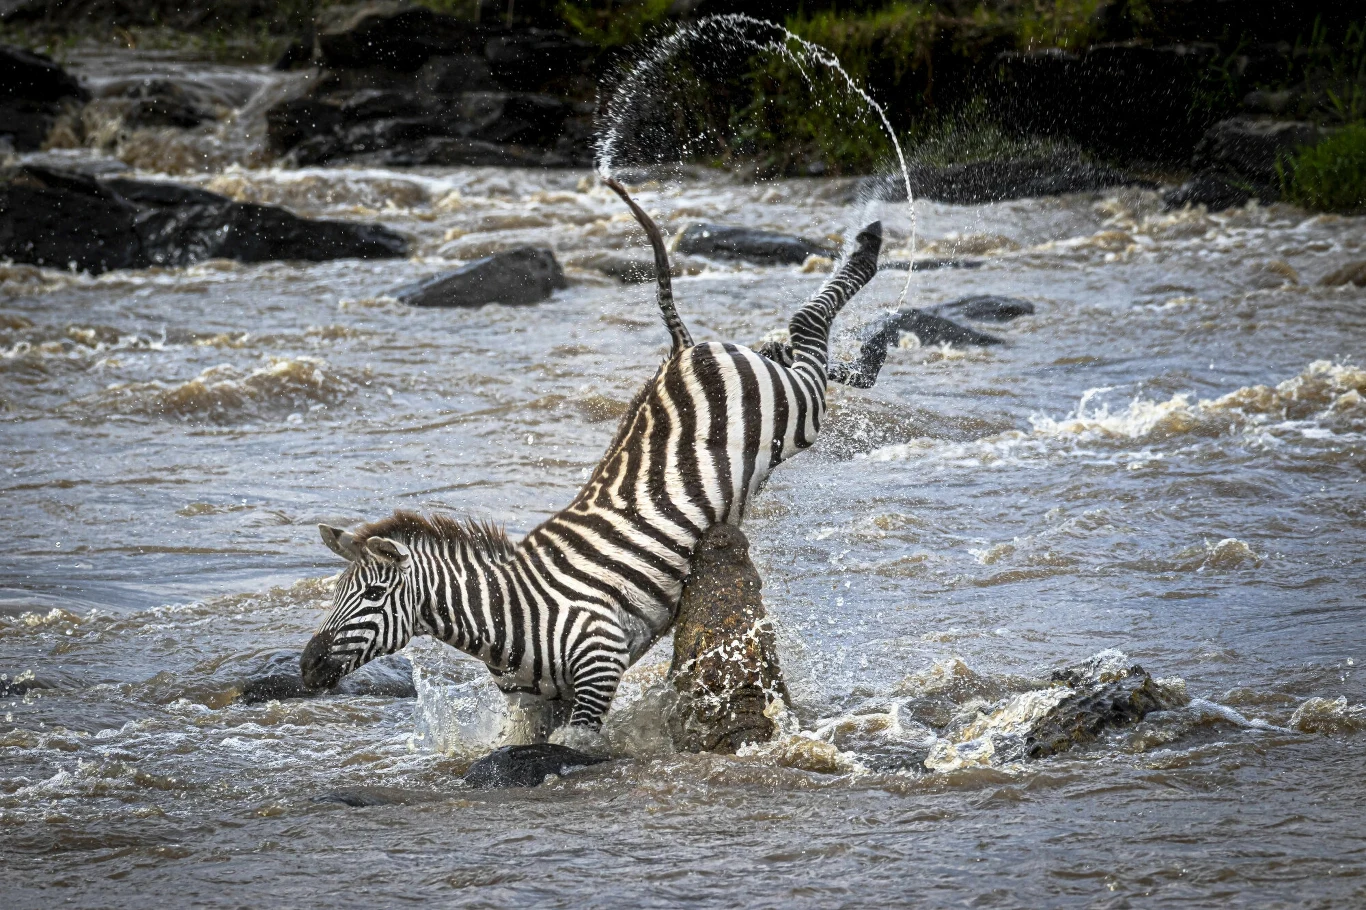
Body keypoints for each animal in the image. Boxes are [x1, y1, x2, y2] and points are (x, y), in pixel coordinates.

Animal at [302, 178, 883, 751]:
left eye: (373, 594)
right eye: (336, 593)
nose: (307, 666)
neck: (508, 614)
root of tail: (682, 352)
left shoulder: (598, 666)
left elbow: (575, 750)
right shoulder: (535, 704)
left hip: (795, 412)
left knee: (806, 332)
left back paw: (870, 251)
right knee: (784, 344)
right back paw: (866, 338)